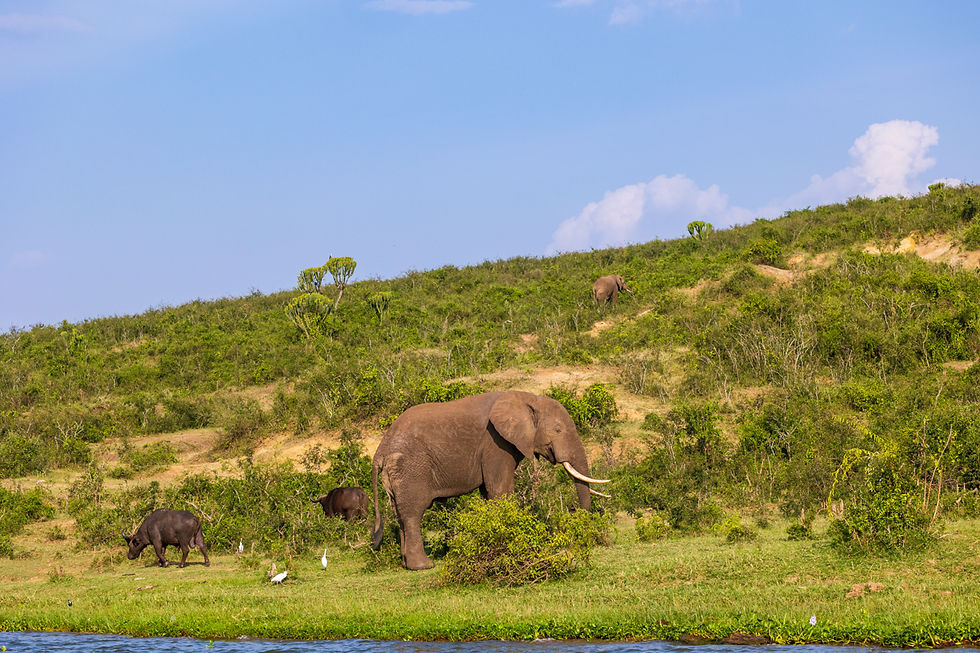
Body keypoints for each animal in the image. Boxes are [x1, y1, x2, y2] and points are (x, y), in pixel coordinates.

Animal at [371, 391, 610, 570]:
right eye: (558, 430)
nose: (573, 511)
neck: (528, 398)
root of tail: (380, 451)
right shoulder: (495, 442)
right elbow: (500, 489)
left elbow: (489, 492)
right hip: (410, 468)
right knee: (413, 513)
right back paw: (423, 566)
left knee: (400, 514)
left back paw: (406, 564)